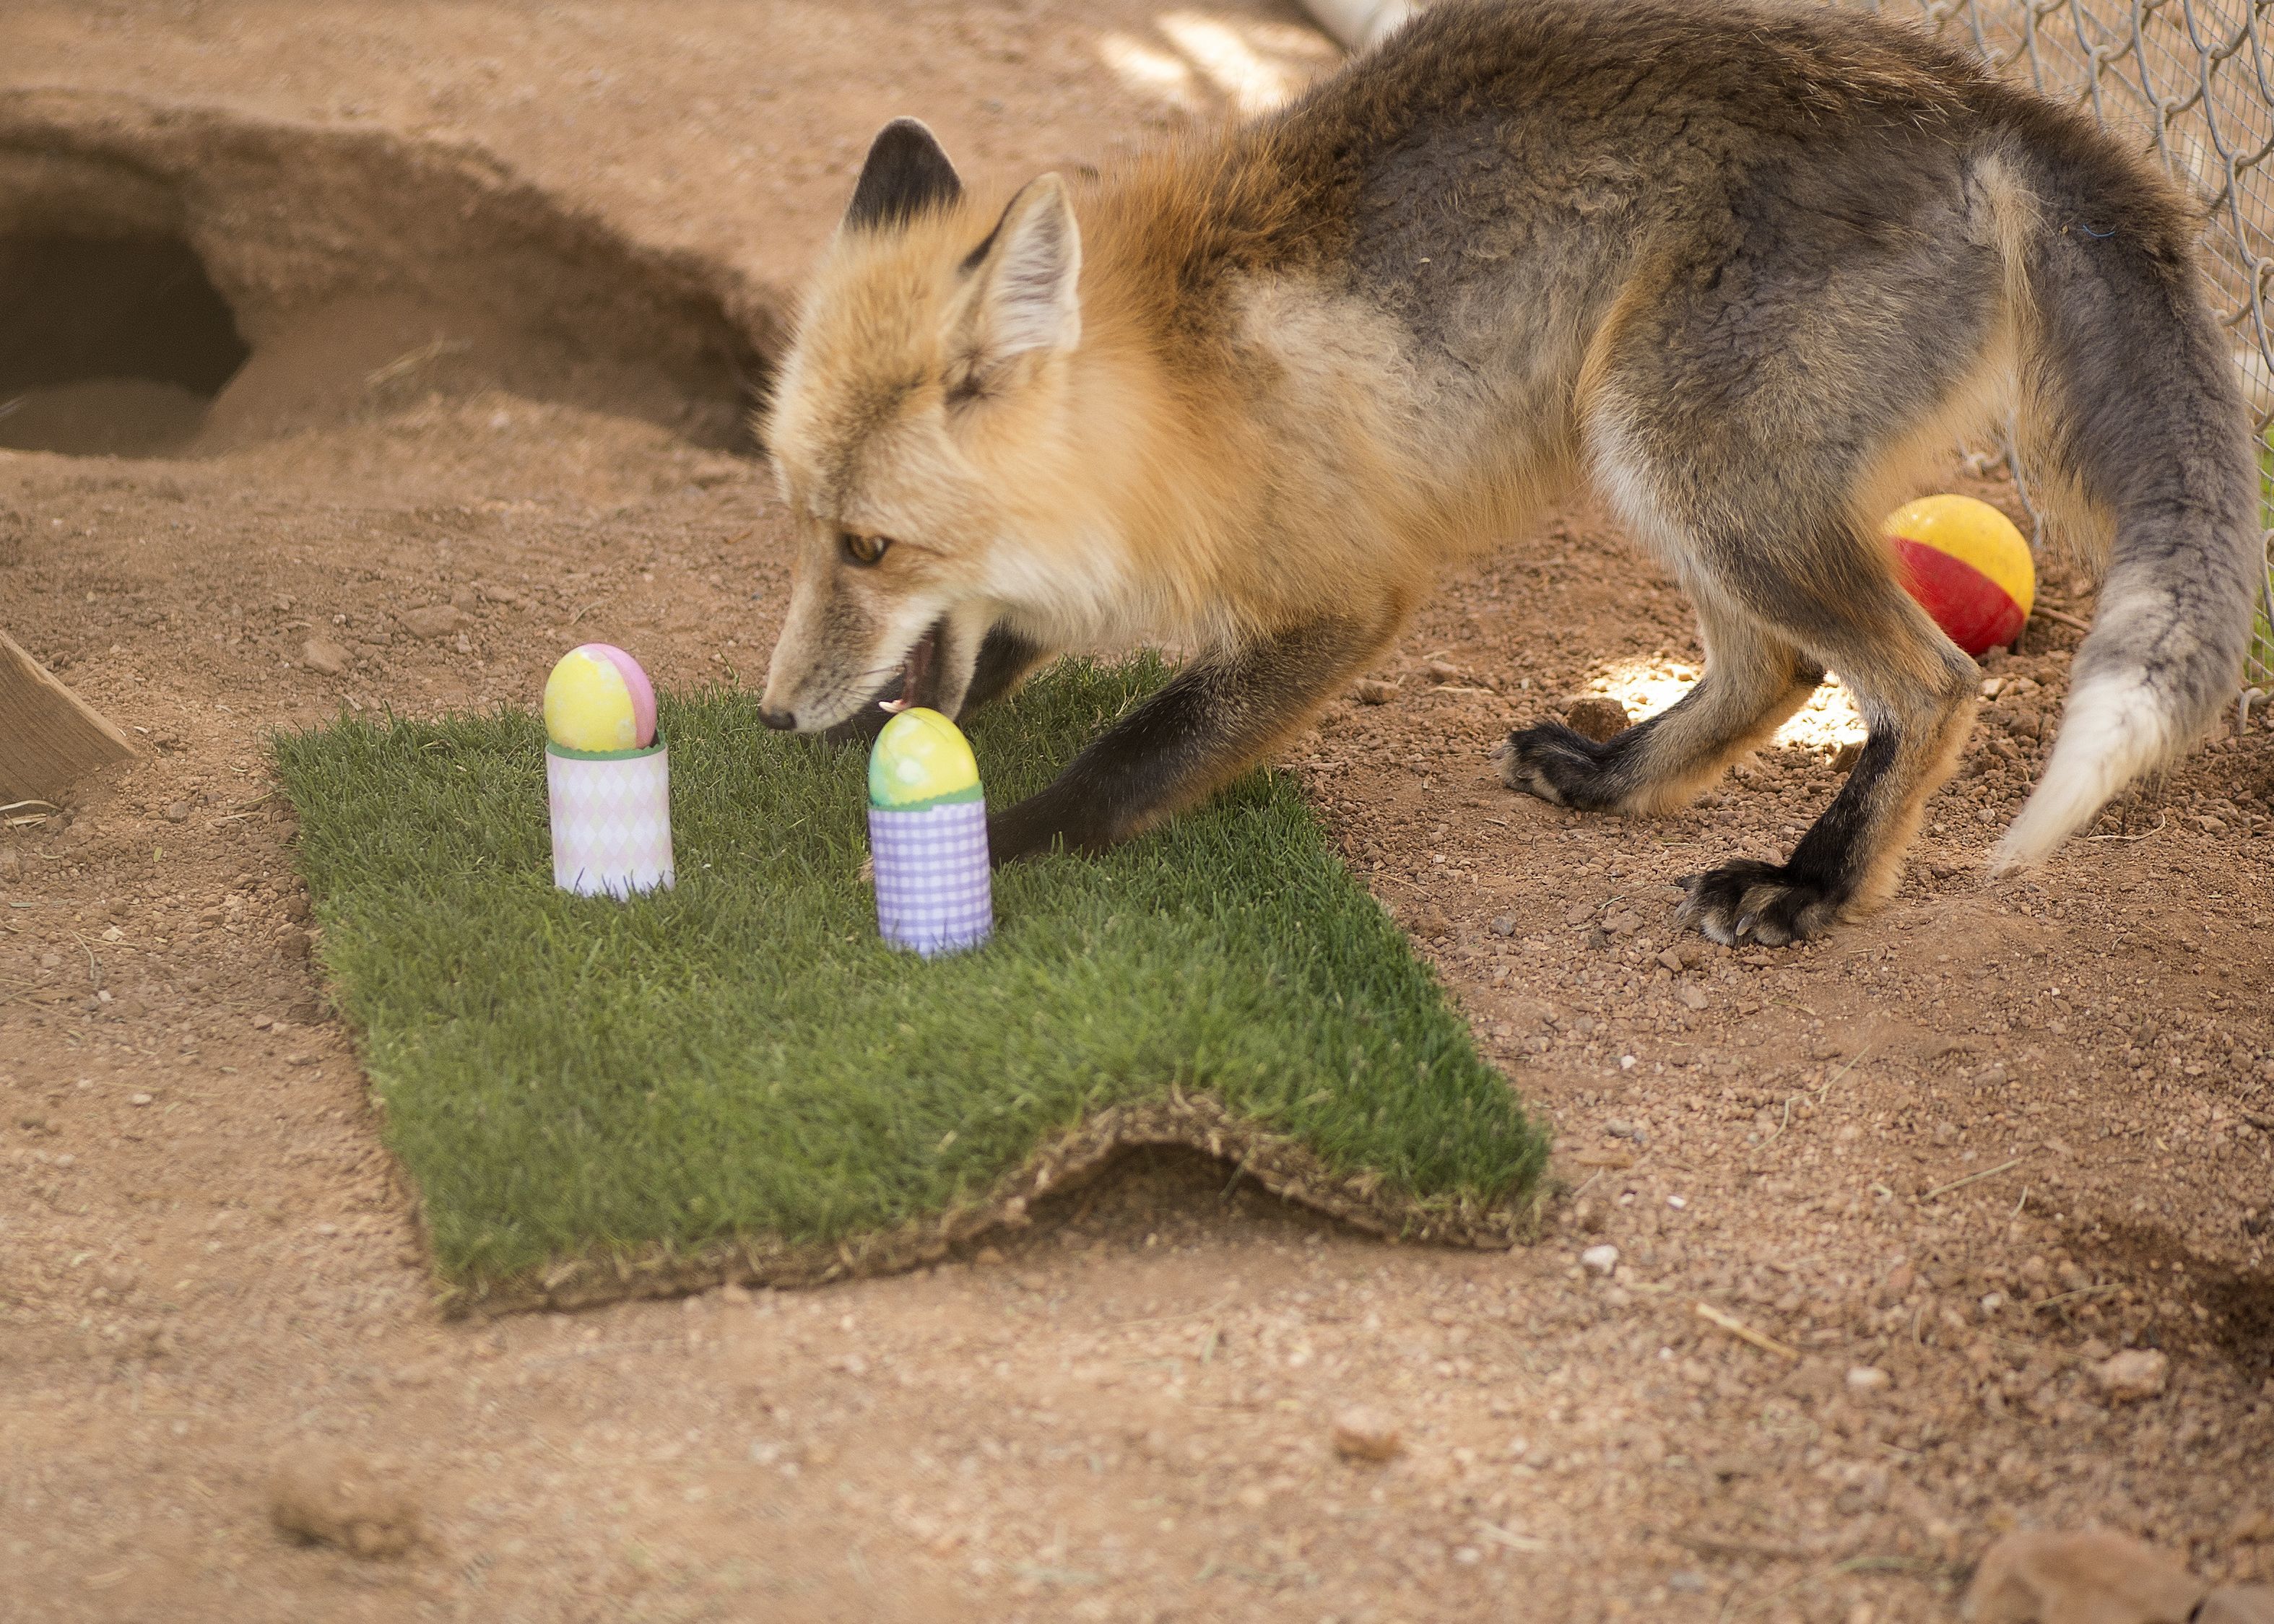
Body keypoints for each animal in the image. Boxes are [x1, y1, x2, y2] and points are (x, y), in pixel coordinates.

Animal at [759, 0, 2255, 942]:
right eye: (803, 527)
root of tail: (1975, 98)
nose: (774, 718)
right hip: (1663, 458)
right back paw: (1618, 778)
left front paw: (997, 844)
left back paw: (1814, 884)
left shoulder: (1340, 598)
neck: (1180, 384)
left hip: (1680, 451)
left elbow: (1127, 757)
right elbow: (1008, 645)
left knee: (1928, 683)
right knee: (1778, 664)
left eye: (870, 545)